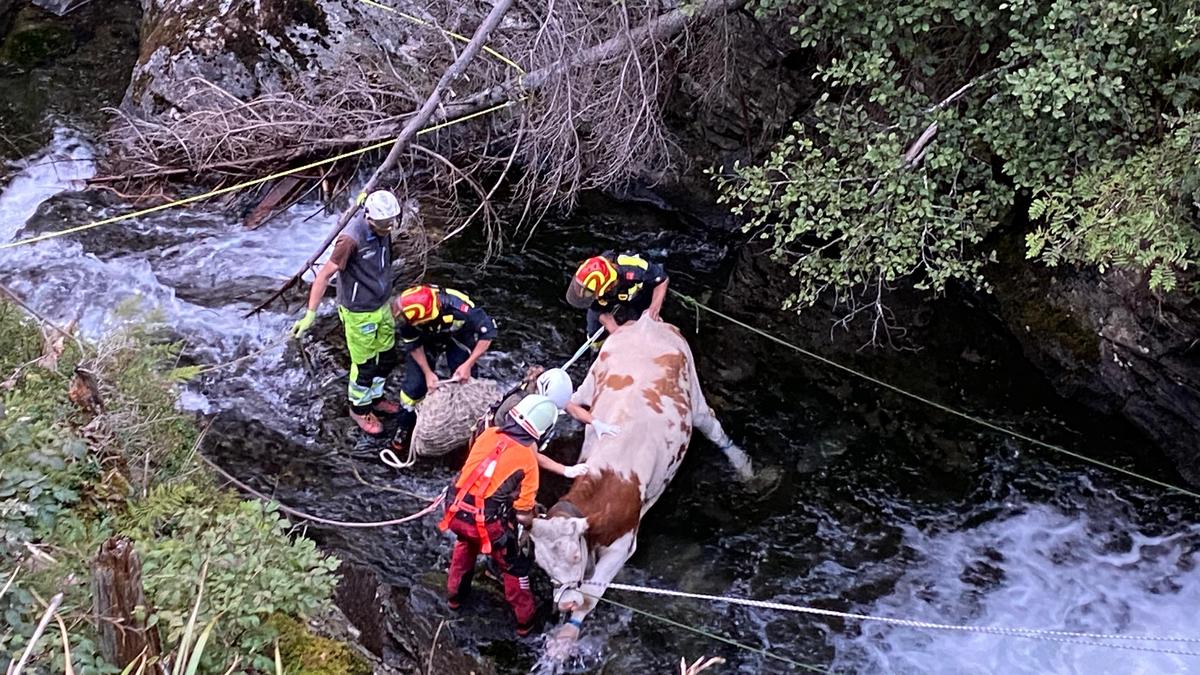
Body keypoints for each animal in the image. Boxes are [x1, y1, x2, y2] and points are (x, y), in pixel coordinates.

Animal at [528, 312, 748, 643]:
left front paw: (563, 642)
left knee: (713, 427)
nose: (564, 603)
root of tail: (646, 322)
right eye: (542, 564)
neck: (612, 474)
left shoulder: (623, 544)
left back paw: (744, 468)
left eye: (574, 557)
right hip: (589, 382)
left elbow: (591, 596)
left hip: (694, 394)